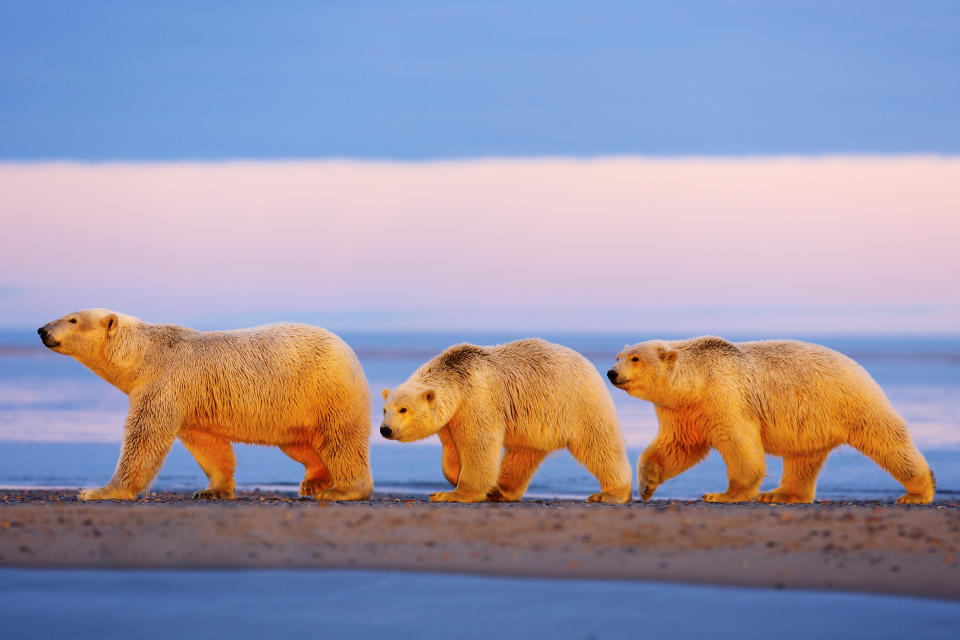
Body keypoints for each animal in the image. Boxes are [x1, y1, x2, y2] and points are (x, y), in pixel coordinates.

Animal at [35, 308, 372, 500]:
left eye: (73, 319)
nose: (41, 330)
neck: (146, 354)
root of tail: (352, 353)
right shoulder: (190, 399)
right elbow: (206, 443)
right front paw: (211, 491)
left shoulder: (165, 383)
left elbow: (144, 439)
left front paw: (99, 491)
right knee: (299, 443)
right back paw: (315, 480)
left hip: (325, 391)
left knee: (340, 440)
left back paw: (343, 490)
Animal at [378, 340, 632, 504]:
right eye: (384, 409)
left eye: (403, 409)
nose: (385, 429)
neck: (457, 375)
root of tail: (588, 363)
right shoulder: (451, 417)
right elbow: (451, 449)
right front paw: (456, 477)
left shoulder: (476, 399)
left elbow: (478, 444)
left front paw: (451, 494)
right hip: (536, 422)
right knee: (522, 454)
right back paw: (501, 490)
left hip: (578, 403)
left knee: (599, 444)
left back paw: (611, 493)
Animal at [612, 336, 932, 504]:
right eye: (618, 356)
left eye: (635, 358)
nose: (611, 373)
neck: (697, 382)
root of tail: (859, 365)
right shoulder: (683, 411)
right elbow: (678, 445)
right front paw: (647, 483)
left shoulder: (725, 396)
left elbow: (739, 444)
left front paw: (723, 494)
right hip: (813, 421)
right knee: (803, 459)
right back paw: (780, 494)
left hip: (850, 401)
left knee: (887, 440)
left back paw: (917, 492)